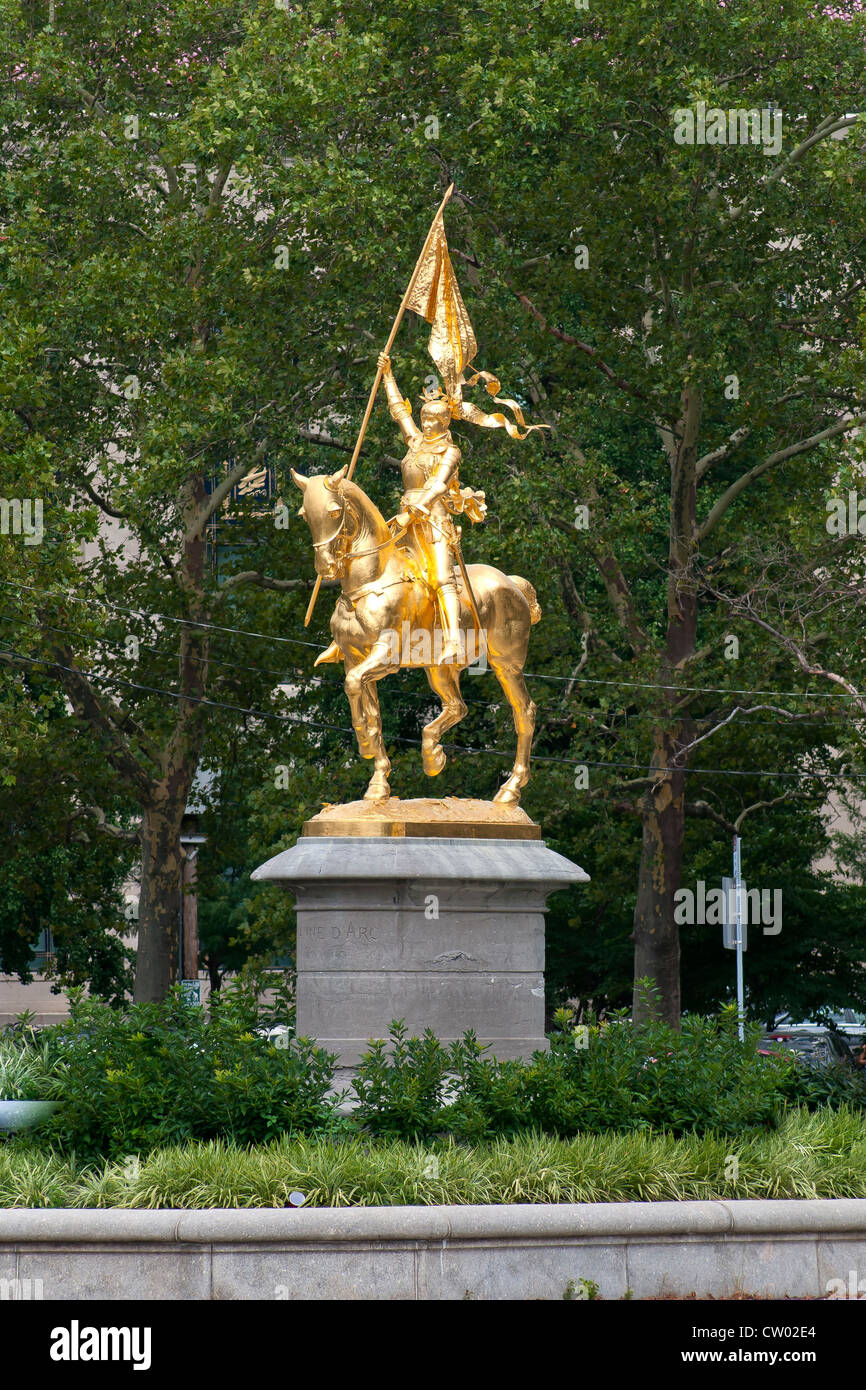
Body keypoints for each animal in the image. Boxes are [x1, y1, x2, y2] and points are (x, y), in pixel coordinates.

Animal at [291, 469, 542, 806]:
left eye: (333, 511)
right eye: (305, 515)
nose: (325, 567)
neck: (371, 581)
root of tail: (512, 583)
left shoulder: (384, 656)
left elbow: (354, 685)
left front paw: (365, 743)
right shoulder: (355, 659)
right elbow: (371, 711)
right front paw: (378, 782)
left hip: (507, 664)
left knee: (523, 713)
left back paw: (509, 790)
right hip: (438, 669)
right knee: (458, 707)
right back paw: (432, 755)